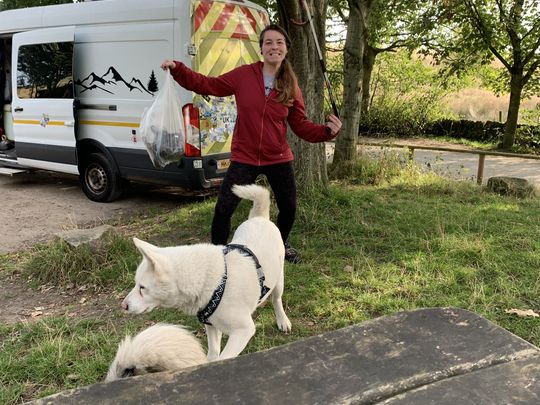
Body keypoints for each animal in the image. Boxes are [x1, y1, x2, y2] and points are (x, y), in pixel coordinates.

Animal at [122, 183, 292, 360]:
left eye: (142, 288)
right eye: (136, 285)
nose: (123, 305)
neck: (212, 283)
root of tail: (260, 217)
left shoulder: (243, 331)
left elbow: (224, 358)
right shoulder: (211, 326)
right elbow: (213, 355)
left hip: (278, 281)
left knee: (276, 300)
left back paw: (283, 321)